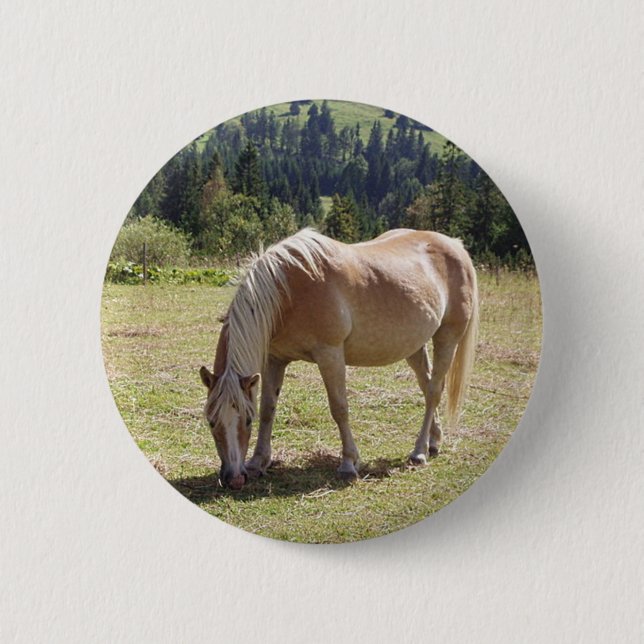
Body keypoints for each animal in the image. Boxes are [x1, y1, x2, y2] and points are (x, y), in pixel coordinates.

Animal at [199, 228, 479, 490]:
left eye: (247, 420)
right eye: (211, 421)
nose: (235, 478)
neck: (287, 291)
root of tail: (455, 245)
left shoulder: (330, 354)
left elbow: (339, 408)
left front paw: (348, 464)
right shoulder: (274, 360)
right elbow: (269, 408)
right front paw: (258, 462)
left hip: (447, 338)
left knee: (433, 390)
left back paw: (419, 452)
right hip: (414, 345)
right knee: (427, 385)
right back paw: (434, 442)